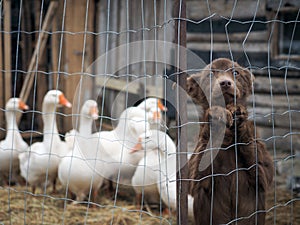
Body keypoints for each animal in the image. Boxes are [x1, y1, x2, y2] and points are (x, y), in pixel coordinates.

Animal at [188, 58, 274, 225]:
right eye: (210, 75)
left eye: (235, 73)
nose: (225, 83)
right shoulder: (196, 180)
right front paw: (217, 114)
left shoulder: (264, 175)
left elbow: (257, 158)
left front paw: (237, 111)